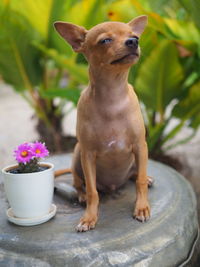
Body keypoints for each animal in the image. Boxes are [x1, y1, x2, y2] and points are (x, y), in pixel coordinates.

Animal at [54, 15, 151, 232]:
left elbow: (140, 181)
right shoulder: (88, 154)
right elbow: (92, 191)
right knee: (77, 182)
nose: (133, 42)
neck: (113, 97)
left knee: (136, 174)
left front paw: (141, 208)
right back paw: (81, 195)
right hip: (77, 153)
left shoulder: (140, 146)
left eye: (134, 36)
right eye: (105, 40)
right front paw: (89, 217)